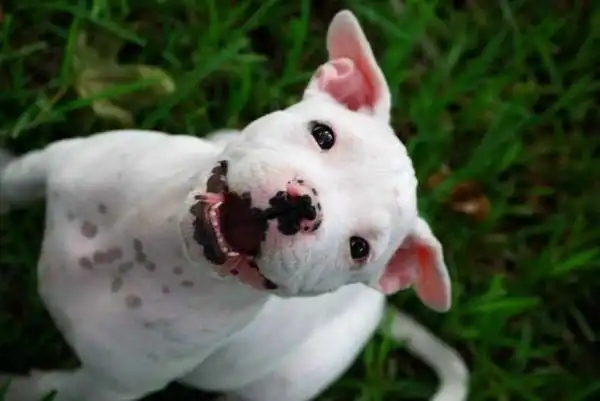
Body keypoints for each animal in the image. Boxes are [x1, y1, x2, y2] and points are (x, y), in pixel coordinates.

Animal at [0, 10, 468, 401]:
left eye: (359, 249)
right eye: (323, 134)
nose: (301, 205)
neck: (147, 251)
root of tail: (379, 307)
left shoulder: (109, 386)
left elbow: (49, 390)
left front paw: (20, 385)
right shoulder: (46, 165)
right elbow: (10, 185)